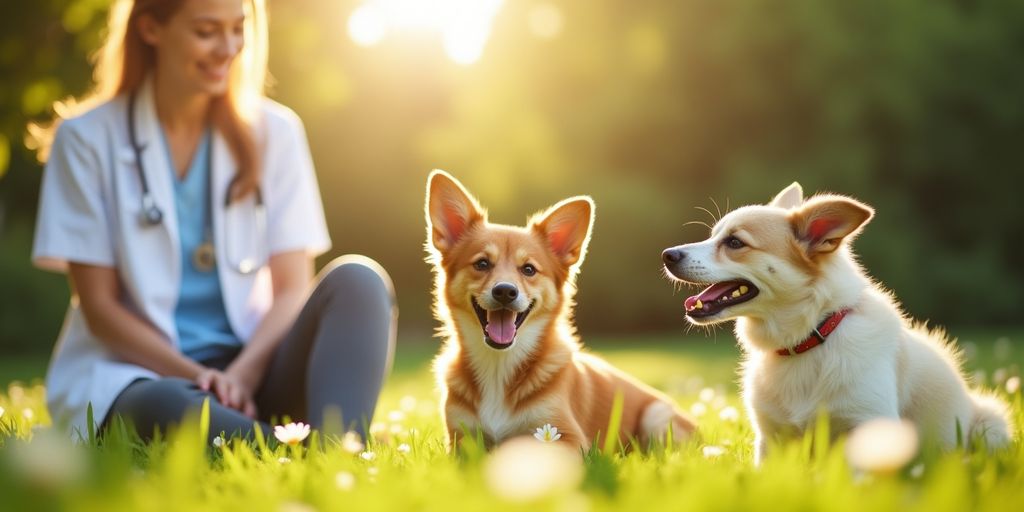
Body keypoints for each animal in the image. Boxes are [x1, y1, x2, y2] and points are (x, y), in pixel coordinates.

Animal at [663, 183, 1007, 464]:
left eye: (735, 243)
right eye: (713, 235)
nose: (667, 254)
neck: (805, 340)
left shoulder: (871, 428)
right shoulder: (771, 440)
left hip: (992, 424)